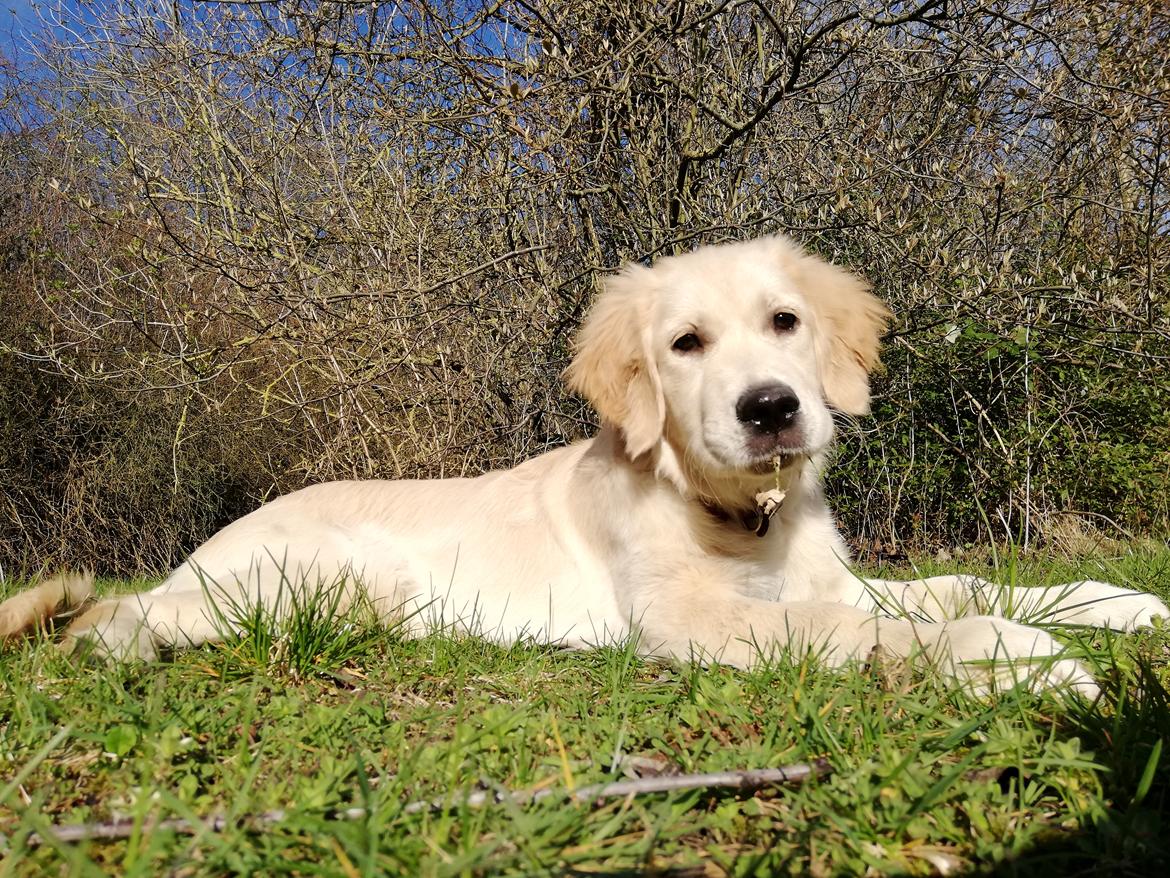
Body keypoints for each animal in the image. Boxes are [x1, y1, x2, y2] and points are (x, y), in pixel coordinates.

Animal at [4, 237, 1165, 697]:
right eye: (685, 344)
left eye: (785, 322)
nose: (772, 409)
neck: (740, 514)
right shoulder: (692, 621)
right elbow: (860, 630)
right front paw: (1012, 655)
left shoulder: (828, 576)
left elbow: (955, 581)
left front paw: (1116, 602)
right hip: (325, 581)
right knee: (119, 615)